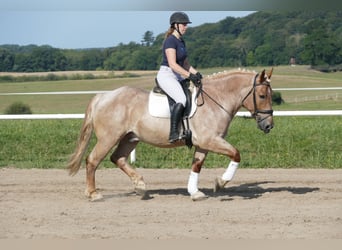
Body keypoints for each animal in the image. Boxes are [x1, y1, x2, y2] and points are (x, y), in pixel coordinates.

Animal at [68, 68, 274, 201]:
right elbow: (236, 154)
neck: (216, 100)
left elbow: (196, 165)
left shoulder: (203, 144)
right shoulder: (211, 140)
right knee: (93, 160)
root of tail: (103, 96)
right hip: (109, 138)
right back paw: (94, 194)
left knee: (117, 158)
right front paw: (221, 182)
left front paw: (195, 192)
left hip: (130, 138)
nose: (268, 126)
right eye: (262, 96)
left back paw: (140, 185)